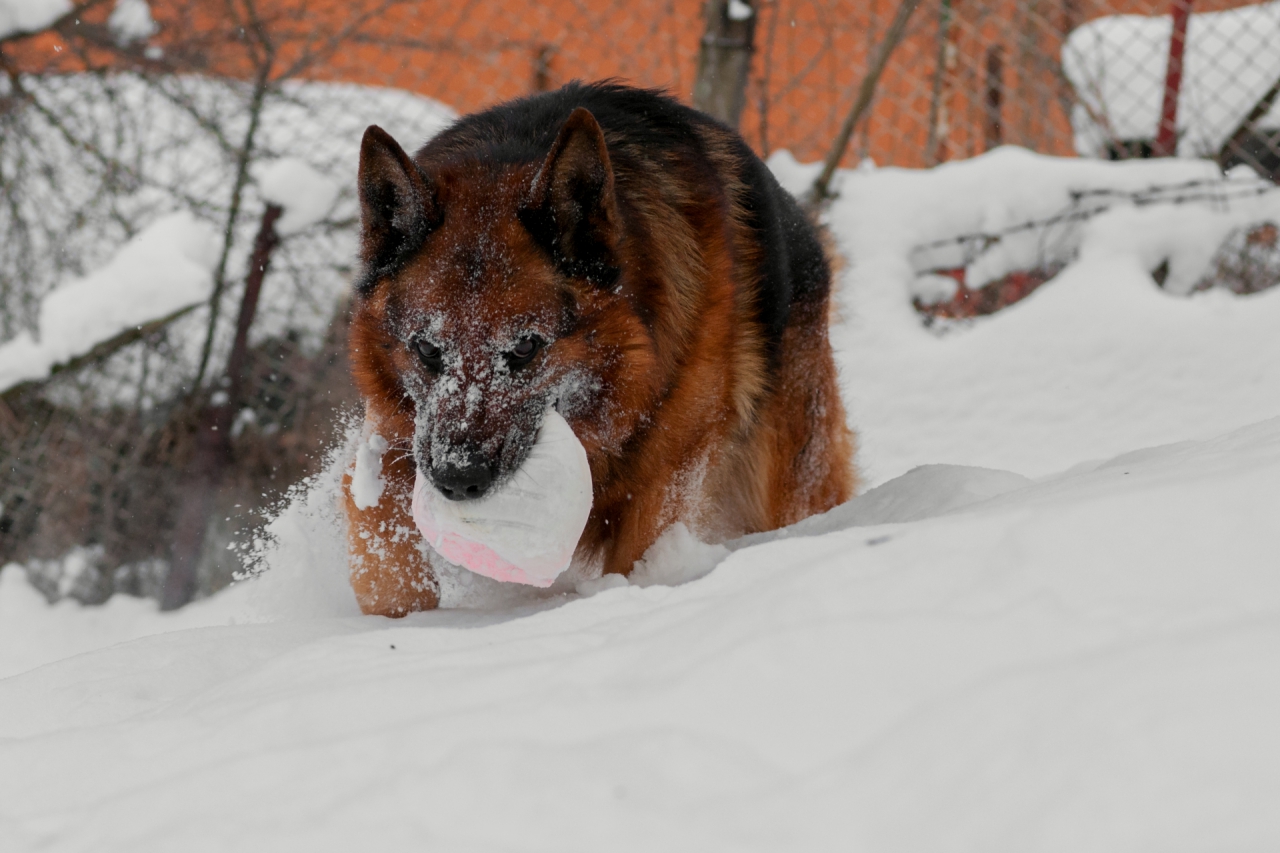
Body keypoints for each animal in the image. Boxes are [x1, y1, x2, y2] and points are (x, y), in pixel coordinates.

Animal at [345, 81, 855, 612]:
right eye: (427, 349)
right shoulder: (392, 442)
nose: (457, 479)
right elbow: (385, 558)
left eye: (525, 348)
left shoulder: (662, 490)